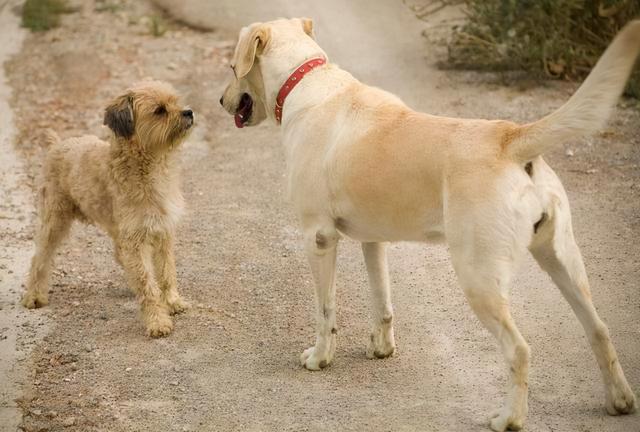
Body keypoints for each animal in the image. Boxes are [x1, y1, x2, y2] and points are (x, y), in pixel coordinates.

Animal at [21, 81, 195, 338]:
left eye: (175, 101)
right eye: (160, 110)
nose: (189, 112)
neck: (148, 166)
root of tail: (56, 146)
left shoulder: (162, 233)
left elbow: (166, 273)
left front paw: (172, 302)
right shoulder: (136, 239)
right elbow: (147, 283)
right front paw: (157, 321)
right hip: (54, 222)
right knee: (40, 259)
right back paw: (34, 296)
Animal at [221, 17, 640, 432]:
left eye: (232, 67)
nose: (221, 101)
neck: (304, 79)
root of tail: (509, 137)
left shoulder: (318, 238)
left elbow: (326, 311)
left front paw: (320, 358)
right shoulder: (374, 241)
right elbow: (382, 301)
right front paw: (382, 349)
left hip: (478, 277)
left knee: (519, 349)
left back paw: (509, 418)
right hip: (562, 261)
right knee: (599, 330)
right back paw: (619, 401)